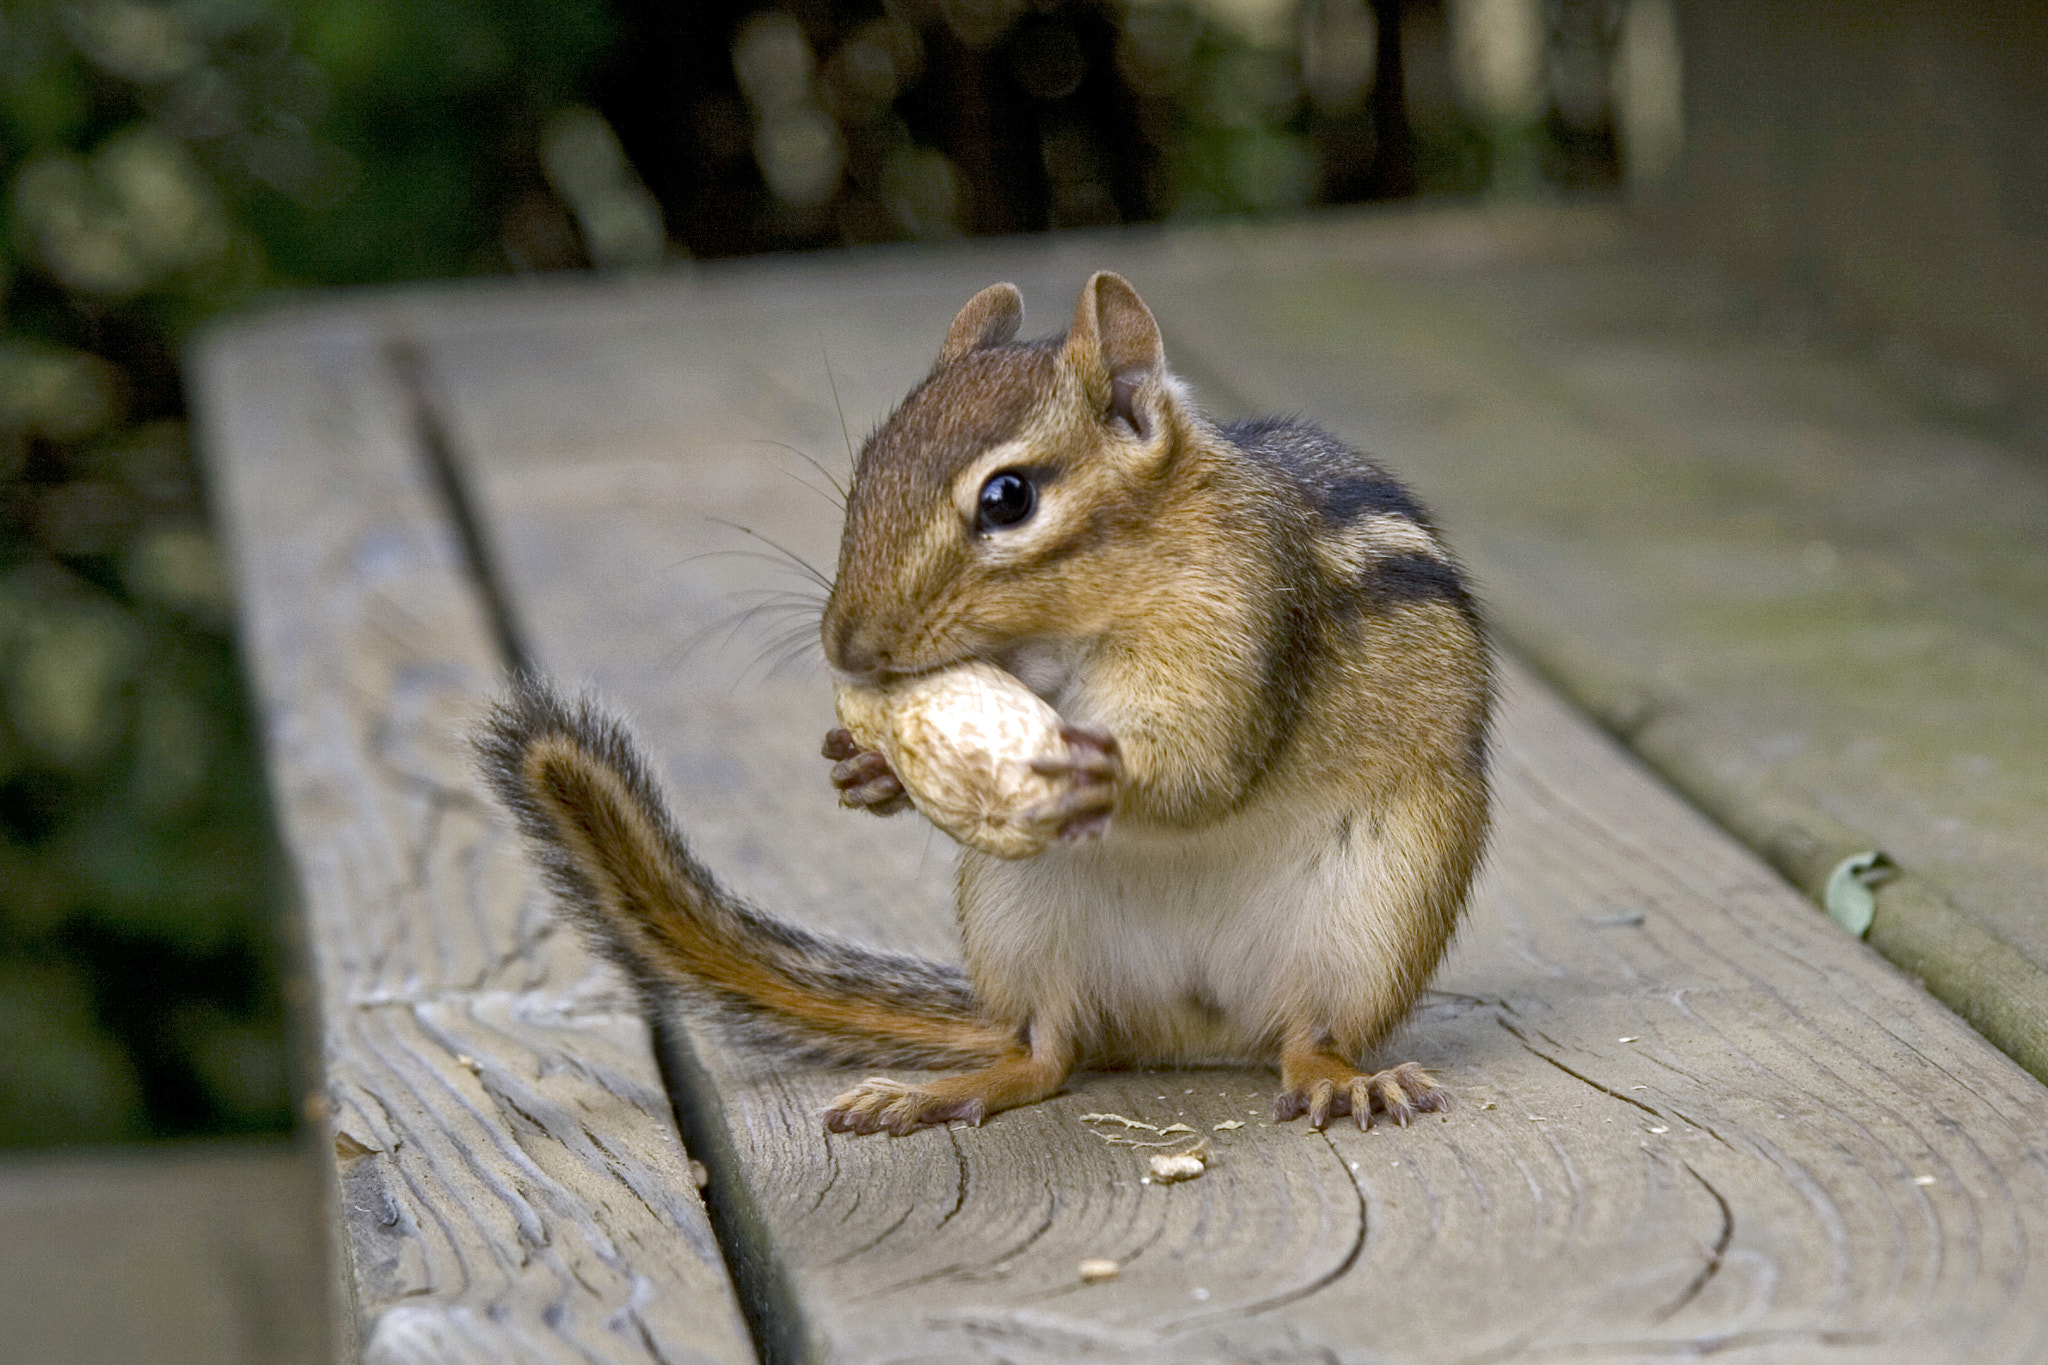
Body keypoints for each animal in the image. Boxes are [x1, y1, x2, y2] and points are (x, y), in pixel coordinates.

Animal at [477, 272, 1492, 1138]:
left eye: (1008, 498)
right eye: (865, 471)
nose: (846, 647)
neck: (1088, 618)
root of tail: (1192, 1031)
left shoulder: (1252, 624)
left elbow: (1211, 764)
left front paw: (1105, 771)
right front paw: (869, 768)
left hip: (1375, 920)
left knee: (1307, 1036)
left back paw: (1343, 1078)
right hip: (1021, 925)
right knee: (1046, 1050)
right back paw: (941, 1090)